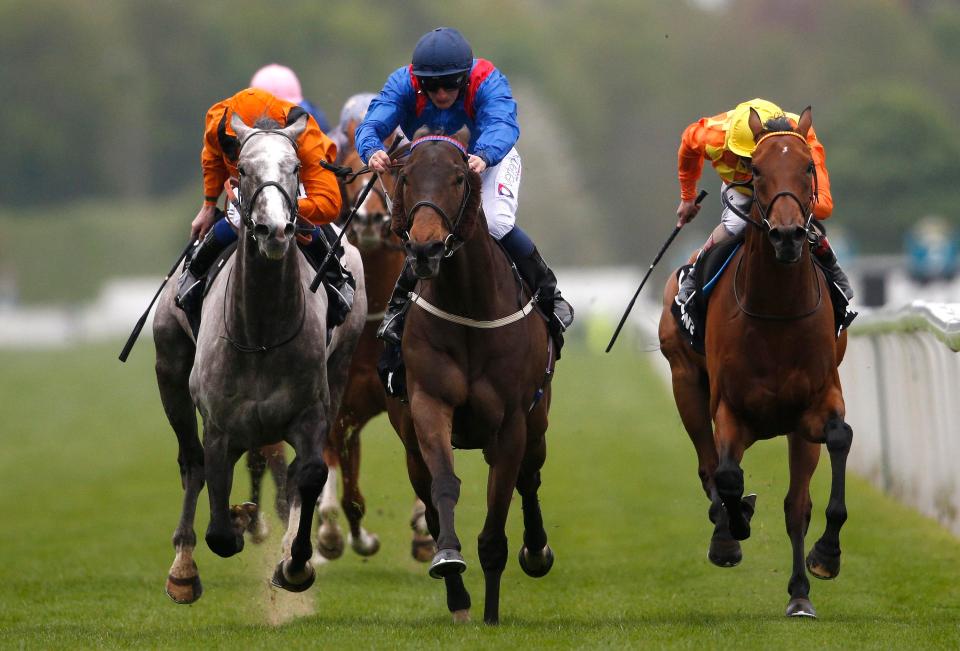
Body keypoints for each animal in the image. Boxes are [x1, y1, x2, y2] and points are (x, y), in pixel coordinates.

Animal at [152, 113, 366, 608]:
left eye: (295, 167)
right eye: (244, 170)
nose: (275, 230)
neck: (262, 332)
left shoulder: (310, 411)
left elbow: (307, 472)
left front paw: (294, 561)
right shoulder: (218, 424)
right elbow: (216, 513)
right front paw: (232, 523)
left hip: (341, 367)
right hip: (169, 369)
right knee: (190, 462)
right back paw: (183, 566)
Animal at [312, 129, 436, 564]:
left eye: (396, 174)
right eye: (349, 171)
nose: (368, 220)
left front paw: (423, 529)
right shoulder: (337, 407)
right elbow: (341, 485)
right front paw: (332, 534)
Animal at [388, 127, 556, 628]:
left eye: (459, 178)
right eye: (404, 177)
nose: (424, 249)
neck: (467, 303)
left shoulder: (511, 424)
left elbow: (497, 521)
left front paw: (493, 613)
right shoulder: (428, 405)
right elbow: (444, 487)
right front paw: (450, 565)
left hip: (537, 424)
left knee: (529, 479)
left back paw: (536, 551)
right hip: (410, 445)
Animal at [660, 108, 856, 620]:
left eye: (807, 167)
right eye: (759, 172)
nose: (788, 236)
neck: (777, 313)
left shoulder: (818, 401)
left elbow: (837, 443)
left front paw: (826, 557)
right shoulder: (730, 408)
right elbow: (727, 475)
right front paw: (733, 529)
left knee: (795, 504)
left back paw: (800, 592)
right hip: (685, 384)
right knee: (710, 467)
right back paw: (727, 528)